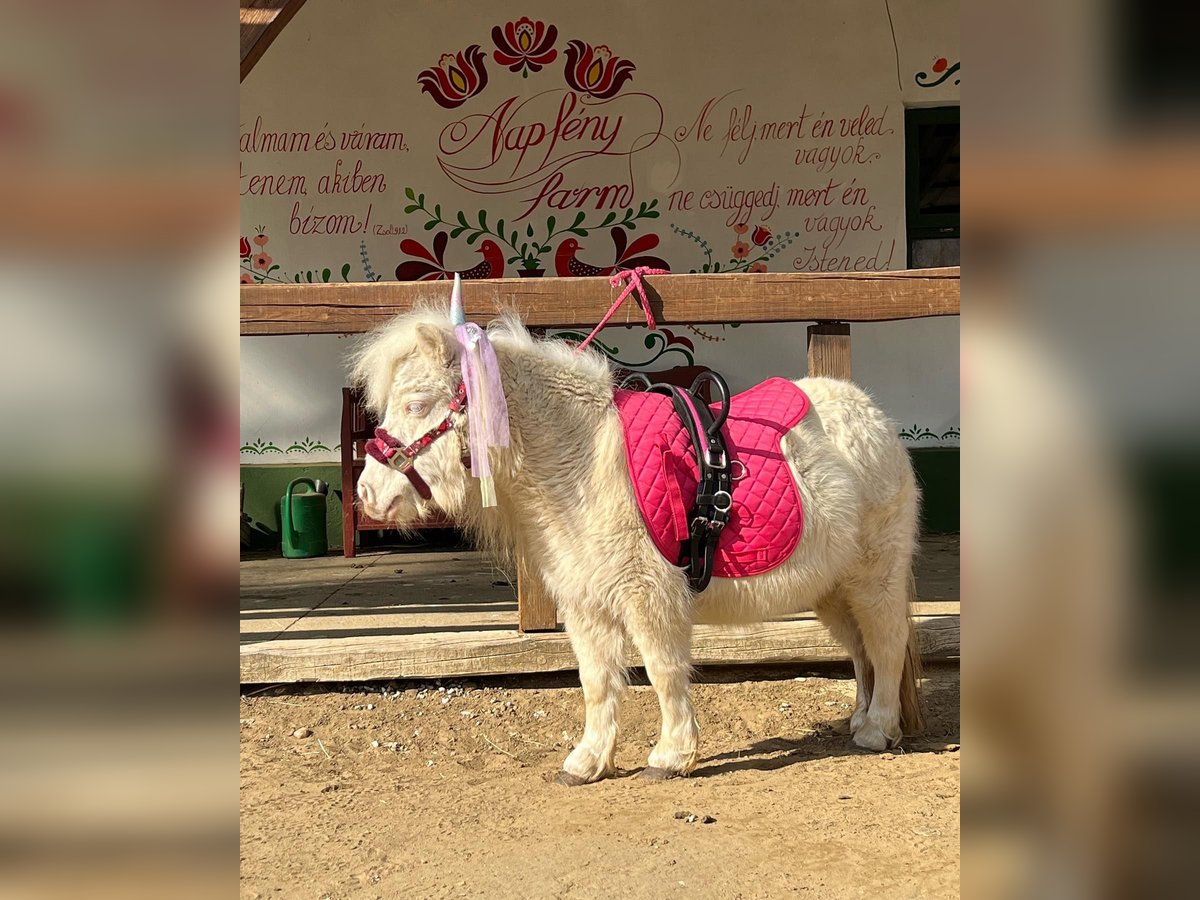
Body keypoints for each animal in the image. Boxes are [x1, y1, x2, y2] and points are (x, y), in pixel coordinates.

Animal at [350, 307, 921, 787]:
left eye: (417, 404)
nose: (368, 494)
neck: (580, 464)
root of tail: (873, 416)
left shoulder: (650, 597)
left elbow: (663, 671)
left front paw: (672, 755)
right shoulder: (586, 606)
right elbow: (597, 681)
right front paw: (588, 762)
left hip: (874, 578)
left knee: (886, 645)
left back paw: (877, 730)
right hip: (833, 590)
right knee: (861, 652)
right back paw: (860, 718)